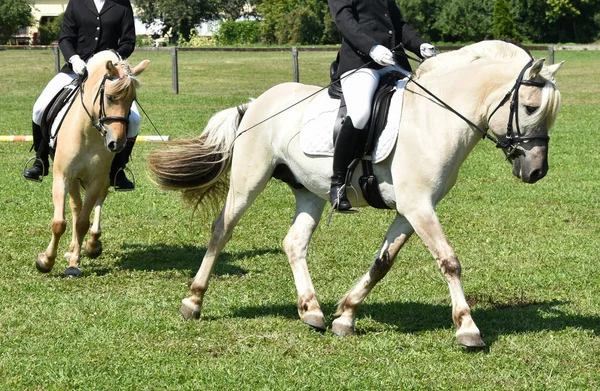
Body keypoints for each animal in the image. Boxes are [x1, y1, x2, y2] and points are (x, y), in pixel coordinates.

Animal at [34, 52, 149, 278]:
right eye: (110, 97)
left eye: (132, 99)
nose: (117, 143)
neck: (88, 132)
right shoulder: (63, 177)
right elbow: (59, 222)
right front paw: (46, 261)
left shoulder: (97, 179)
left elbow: (82, 222)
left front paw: (74, 264)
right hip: (74, 180)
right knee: (75, 206)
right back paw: (72, 248)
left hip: (102, 179)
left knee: (94, 206)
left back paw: (91, 245)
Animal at [149, 41, 564, 348]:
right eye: (530, 107)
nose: (536, 172)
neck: (434, 119)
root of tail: (255, 103)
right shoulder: (419, 206)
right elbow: (449, 261)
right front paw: (467, 328)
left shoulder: (411, 210)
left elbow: (382, 263)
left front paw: (345, 316)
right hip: (249, 180)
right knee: (222, 230)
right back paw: (193, 301)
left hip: (310, 191)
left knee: (294, 243)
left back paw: (311, 310)